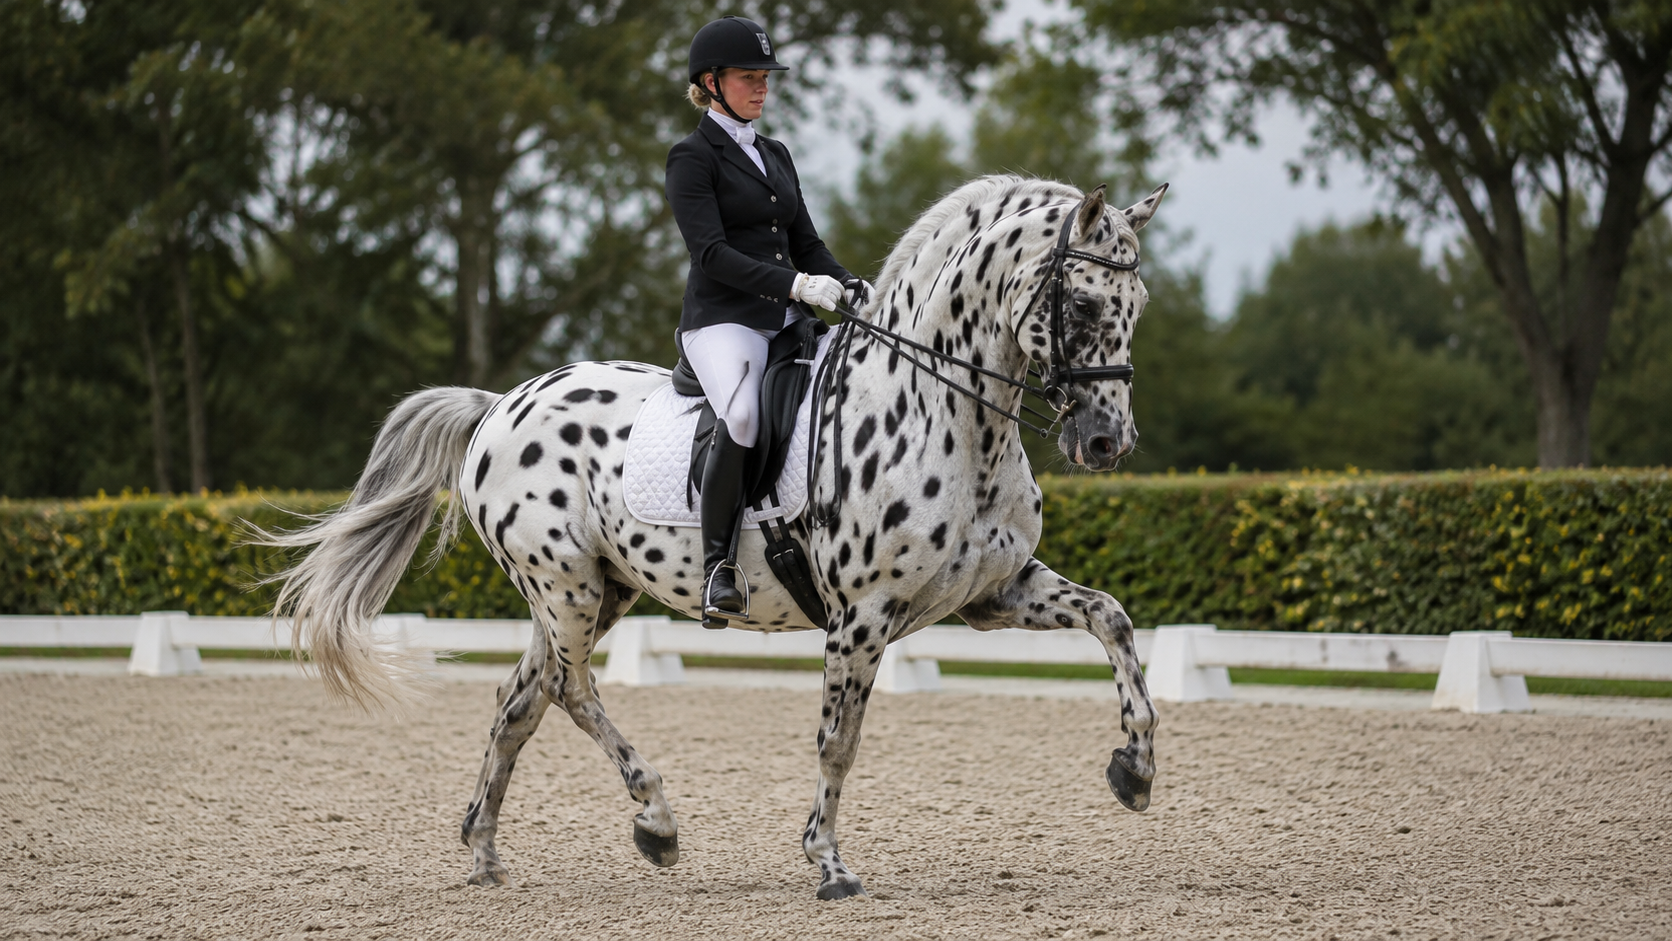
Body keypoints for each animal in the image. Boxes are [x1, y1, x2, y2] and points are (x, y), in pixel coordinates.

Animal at [260, 174, 1167, 900]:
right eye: (1082, 303)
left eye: (1138, 308)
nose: (1106, 441)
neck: (946, 413)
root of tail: (499, 405)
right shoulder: (863, 617)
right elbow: (839, 740)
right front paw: (828, 864)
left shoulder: (993, 592)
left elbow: (1112, 617)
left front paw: (1135, 769)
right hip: (564, 584)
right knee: (570, 690)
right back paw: (656, 822)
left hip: (595, 589)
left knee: (520, 699)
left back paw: (484, 853)